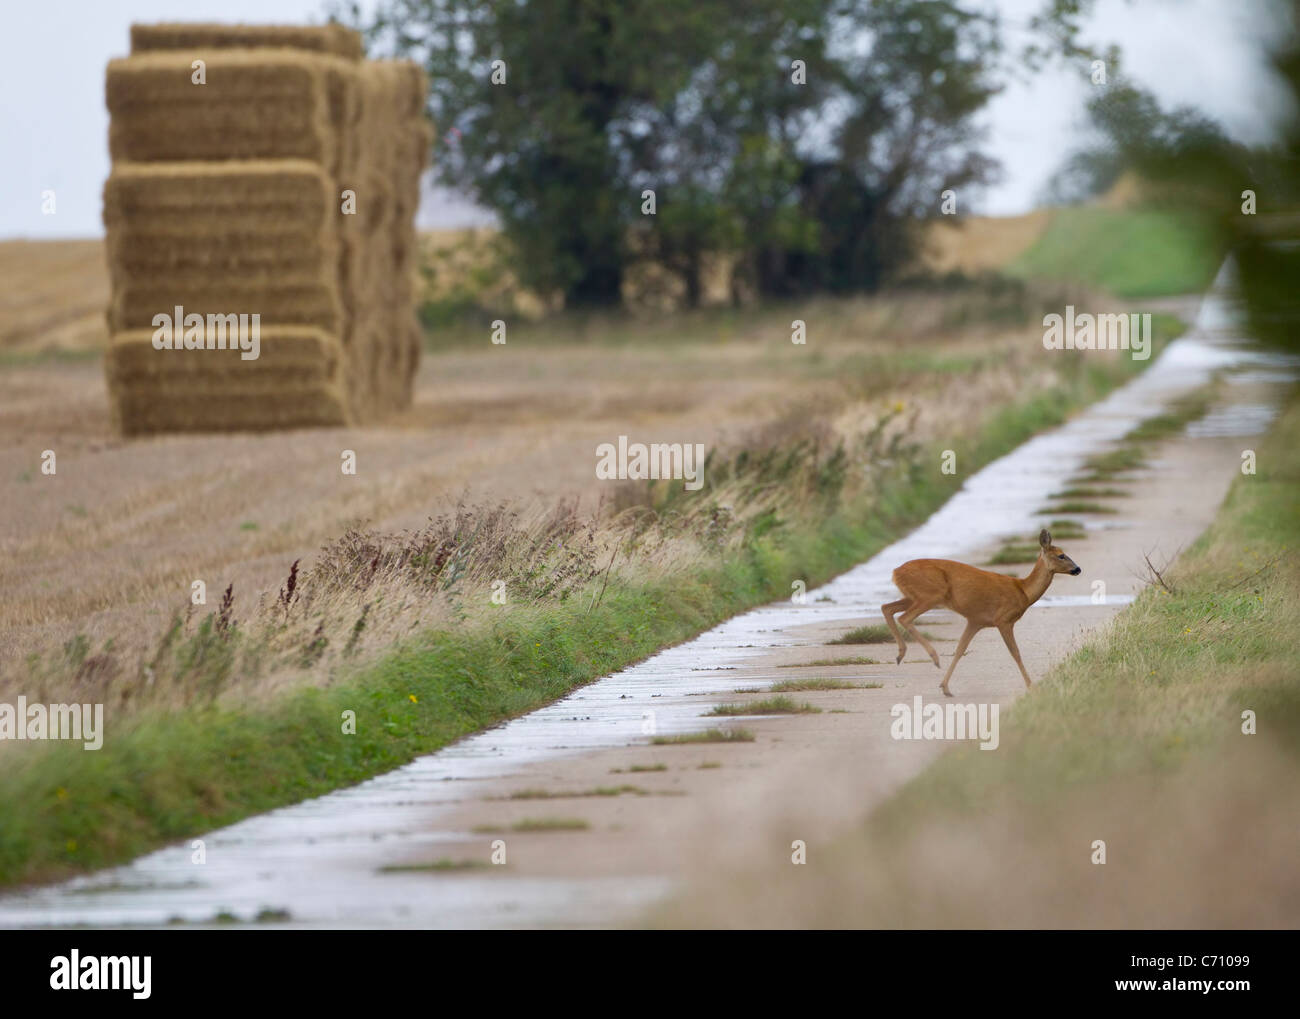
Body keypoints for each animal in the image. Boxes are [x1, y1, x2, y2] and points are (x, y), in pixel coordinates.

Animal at [878, 530, 1081, 696]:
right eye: (1061, 555)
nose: (1078, 569)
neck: (1023, 591)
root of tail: (895, 572)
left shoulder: (975, 620)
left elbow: (960, 650)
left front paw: (945, 687)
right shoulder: (1003, 620)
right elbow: (1015, 652)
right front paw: (1032, 687)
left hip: (914, 596)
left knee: (887, 607)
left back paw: (901, 654)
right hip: (930, 595)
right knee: (904, 617)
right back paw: (932, 657)